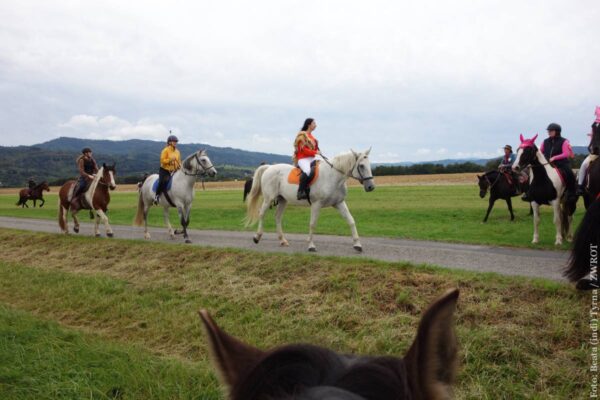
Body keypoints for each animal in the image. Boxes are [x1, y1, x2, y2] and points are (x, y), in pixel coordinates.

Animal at [244, 148, 376, 252]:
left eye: (369, 164)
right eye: (361, 166)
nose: (371, 187)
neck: (332, 177)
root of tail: (269, 167)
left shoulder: (339, 203)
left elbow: (351, 221)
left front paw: (357, 244)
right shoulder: (316, 204)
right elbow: (313, 224)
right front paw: (311, 245)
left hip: (282, 200)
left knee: (277, 217)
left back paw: (283, 240)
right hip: (268, 199)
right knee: (262, 214)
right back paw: (257, 237)